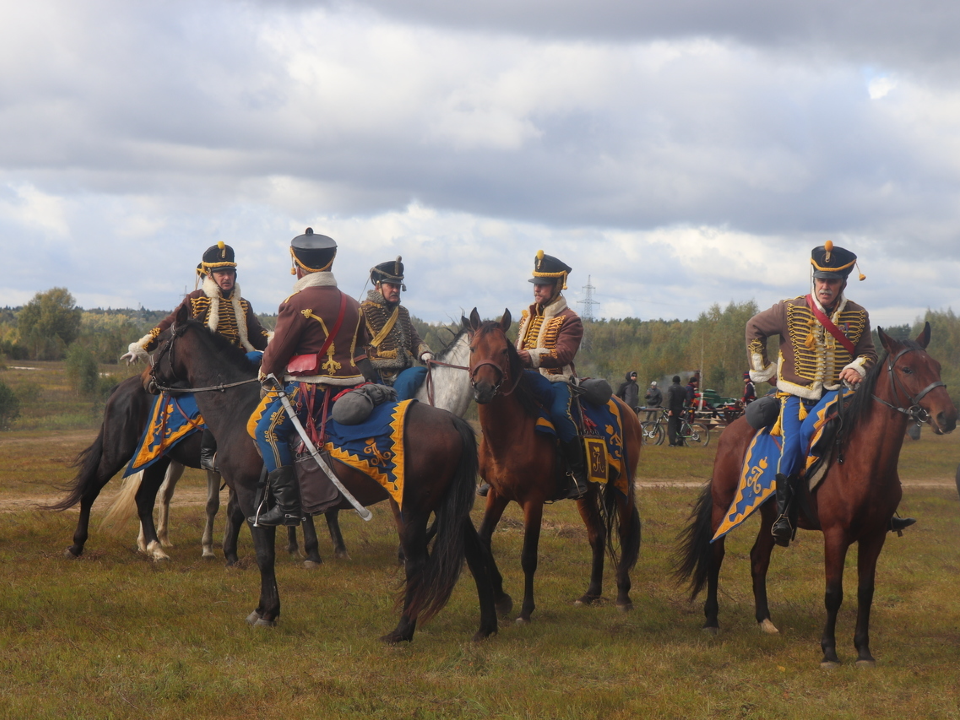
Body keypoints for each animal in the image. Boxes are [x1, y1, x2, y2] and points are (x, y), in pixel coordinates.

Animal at [146, 306, 498, 644]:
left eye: (160, 343)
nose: (150, 381)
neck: (236, 405)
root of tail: (452, 421)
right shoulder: (263, 502)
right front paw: (266, 606)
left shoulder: (250, 497)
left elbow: (264, 555)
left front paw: (267, 612)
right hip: (445, 505)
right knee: (475, 555)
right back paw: (487, 626)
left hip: (410, 508)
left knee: (418, 564)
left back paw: (401, 632)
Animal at [462, 310, 640, 624]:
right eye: (473, 349)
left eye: (502, 352)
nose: (483, 390)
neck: (511, 432)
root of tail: (627, 409)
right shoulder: (497, 493)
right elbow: (483, 541)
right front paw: (501, 598)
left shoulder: (533, 501)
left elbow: (528, 556)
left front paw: (526, 609)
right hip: (586, 493)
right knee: (597, 535)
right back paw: (590, 594)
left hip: (622, 485)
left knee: (625, 533)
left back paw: (622, 596)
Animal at [676, 324, 960, 668]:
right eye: (907, 369)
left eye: (937, 367)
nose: (947, 416)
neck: (862, 461)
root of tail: (733, 429)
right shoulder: (835, 535)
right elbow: (833, 593)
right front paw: (829, 651)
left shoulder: (875, 535)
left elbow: (866, 591)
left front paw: (863, 651)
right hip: (723, 505)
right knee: (715, 554)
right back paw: (711, 620)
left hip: (772, 517)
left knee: (759, 558)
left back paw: (764, 620)